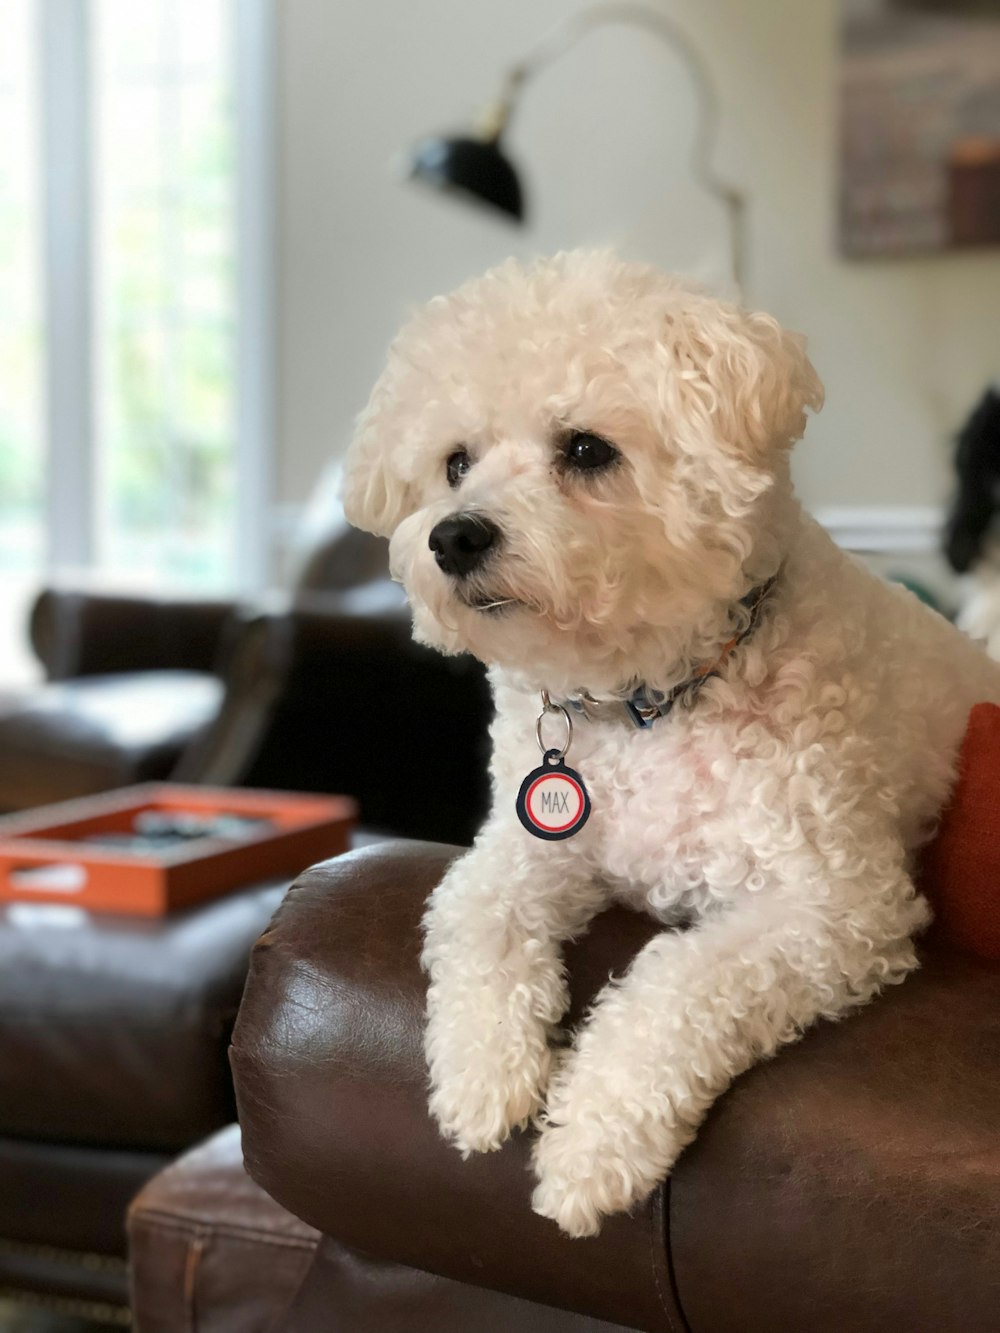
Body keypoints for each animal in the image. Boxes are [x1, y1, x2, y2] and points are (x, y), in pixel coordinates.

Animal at [344, 250, 1000, 1237]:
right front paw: (483, 1079)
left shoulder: (835, 908)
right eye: (454, 463)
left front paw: (589, 1144)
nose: (454, 536)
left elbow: (677, 985)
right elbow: (473, 918)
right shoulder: (525, 852)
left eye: (586, 450)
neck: (647, 700)